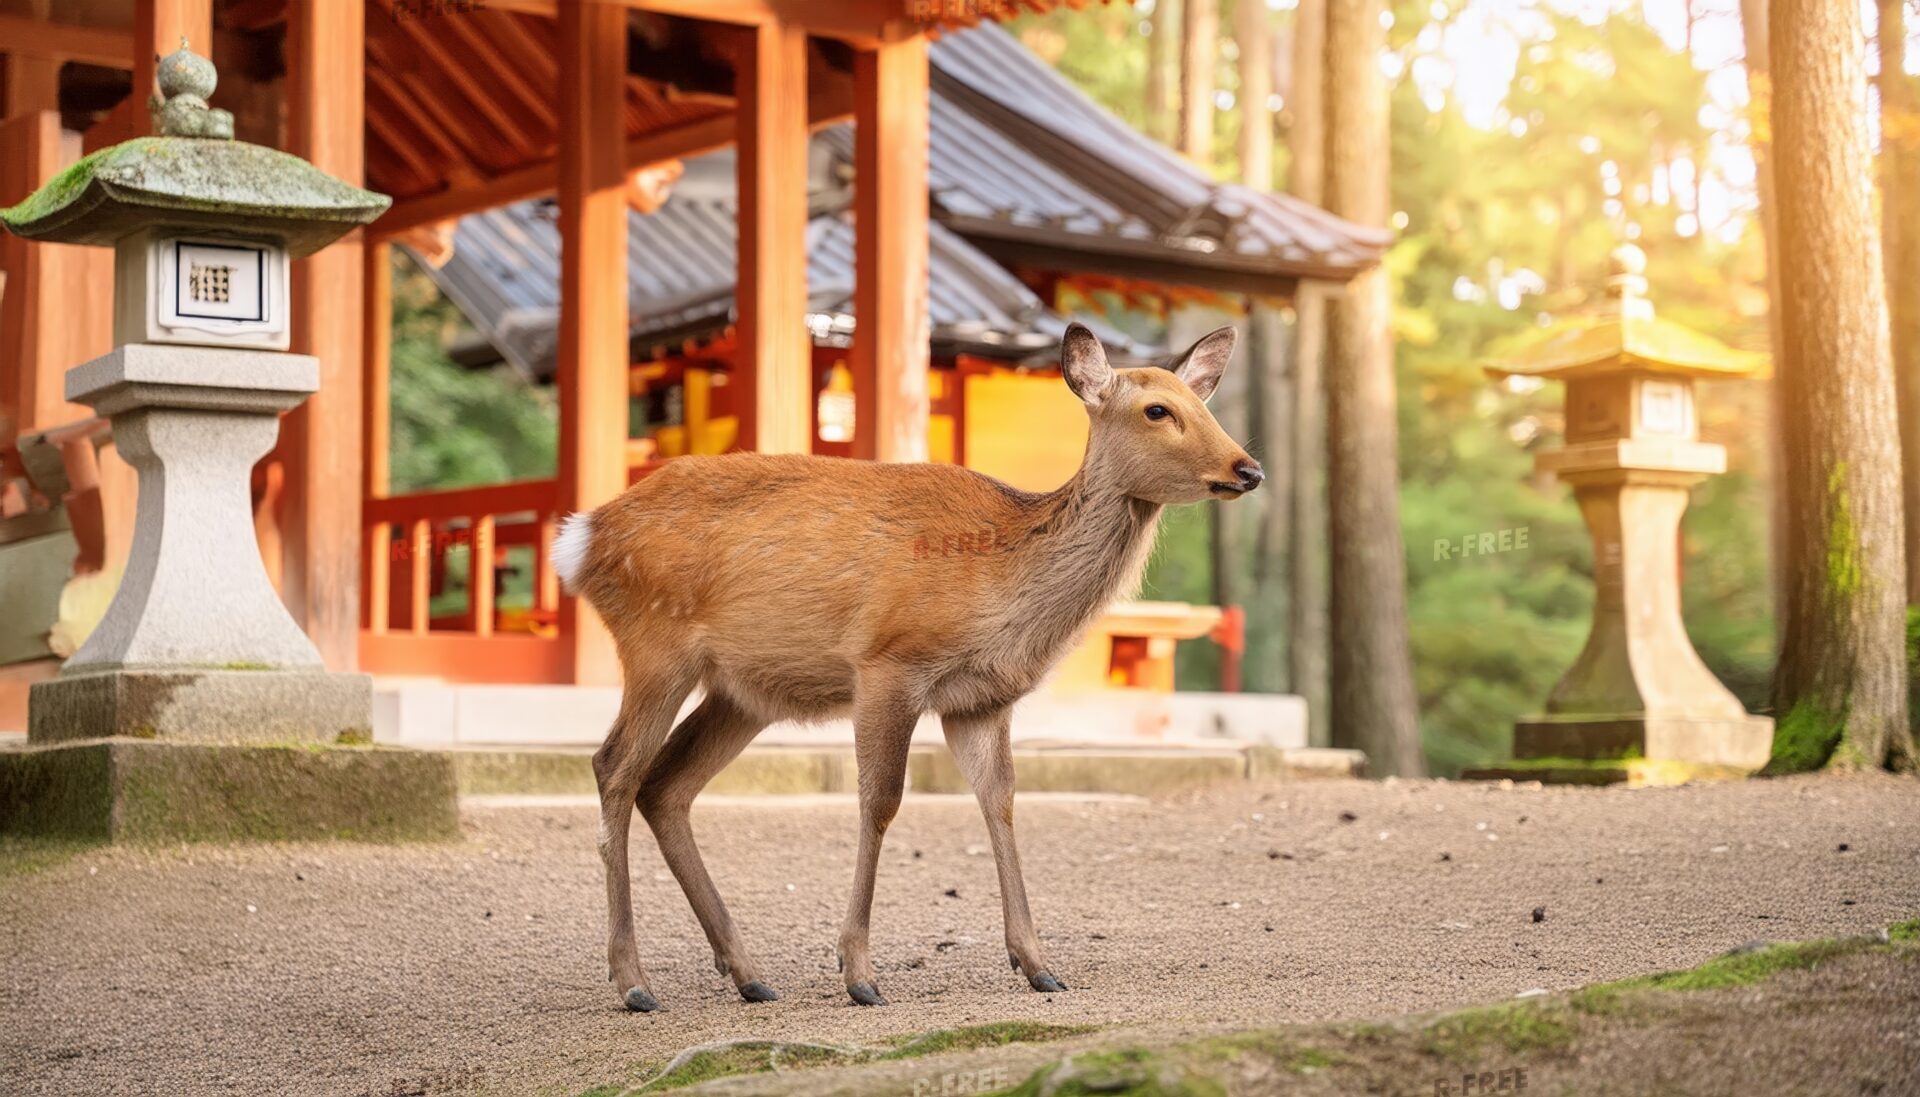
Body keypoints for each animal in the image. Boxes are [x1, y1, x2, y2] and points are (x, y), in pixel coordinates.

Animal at [550, 323, 1262, 1011]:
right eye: (1157, 409)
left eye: (1205, 404)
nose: (1248, 468)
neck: (1002, 591)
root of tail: (581, 538)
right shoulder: (888, 662)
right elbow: (882, 800)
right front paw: (859, 974)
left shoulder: (981, 700)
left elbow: (1000, 801)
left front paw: (1038, 966)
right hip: (656, 643)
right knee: (615, 767)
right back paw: (634, 981)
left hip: (744, 692)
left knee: (666, 784)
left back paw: (749, 975)